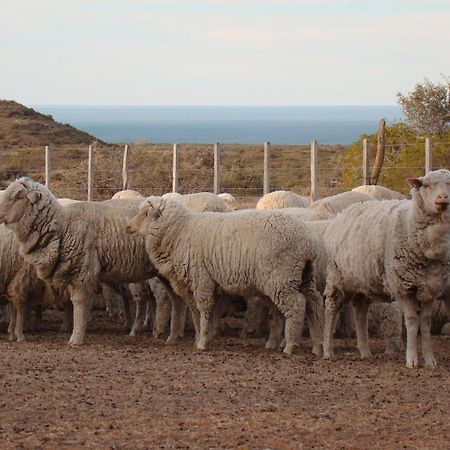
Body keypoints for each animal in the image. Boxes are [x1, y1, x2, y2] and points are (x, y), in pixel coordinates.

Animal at [0, 178, 160, 344]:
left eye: (18, 196)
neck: (63, 225)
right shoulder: (72, 270)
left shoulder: (82, 269)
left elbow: (78, 302)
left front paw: (76, 338)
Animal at [126, 197, 324, 356]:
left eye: (146, 214)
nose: (128, 227)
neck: (180, 232)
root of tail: (308, 242)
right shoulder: (192, 284)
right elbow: (195, 310)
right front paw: (199, 336)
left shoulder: (202, 279)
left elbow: (204, 309)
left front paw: (203, 341)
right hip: (302, 277)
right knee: (313, 304)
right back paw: (314, 345)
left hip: (282, 278)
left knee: (297, 305)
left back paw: (290, 345)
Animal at [322, 169, 448, 370]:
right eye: (427, 185)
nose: (443, 198)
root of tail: (342, 214)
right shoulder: (402, 287)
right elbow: (412, 321)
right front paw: (412, 359)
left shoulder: (430, 288)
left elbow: (426, 323)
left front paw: (430, 360)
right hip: (338, 278)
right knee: (332, 308)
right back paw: (328, 350)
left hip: (362, 281)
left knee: (360, 312)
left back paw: (364, 351)